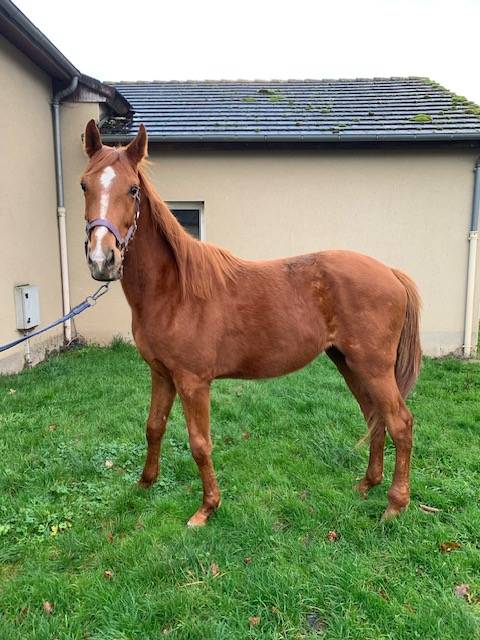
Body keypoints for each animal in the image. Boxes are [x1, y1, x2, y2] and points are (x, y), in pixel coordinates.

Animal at [81, 119, 422, 527]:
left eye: (132, 189)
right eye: (84, 185)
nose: (102, 260)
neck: (174, 291)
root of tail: (391, 272)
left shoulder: (193, 382)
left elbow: (199, 443)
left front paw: (207, 508)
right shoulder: (161, 373)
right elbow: (153, 427)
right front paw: (145, 484)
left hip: (373, 367)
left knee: (400, 422)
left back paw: (395, 504)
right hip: (349, 363)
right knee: (374, 416)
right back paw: (367, 484)